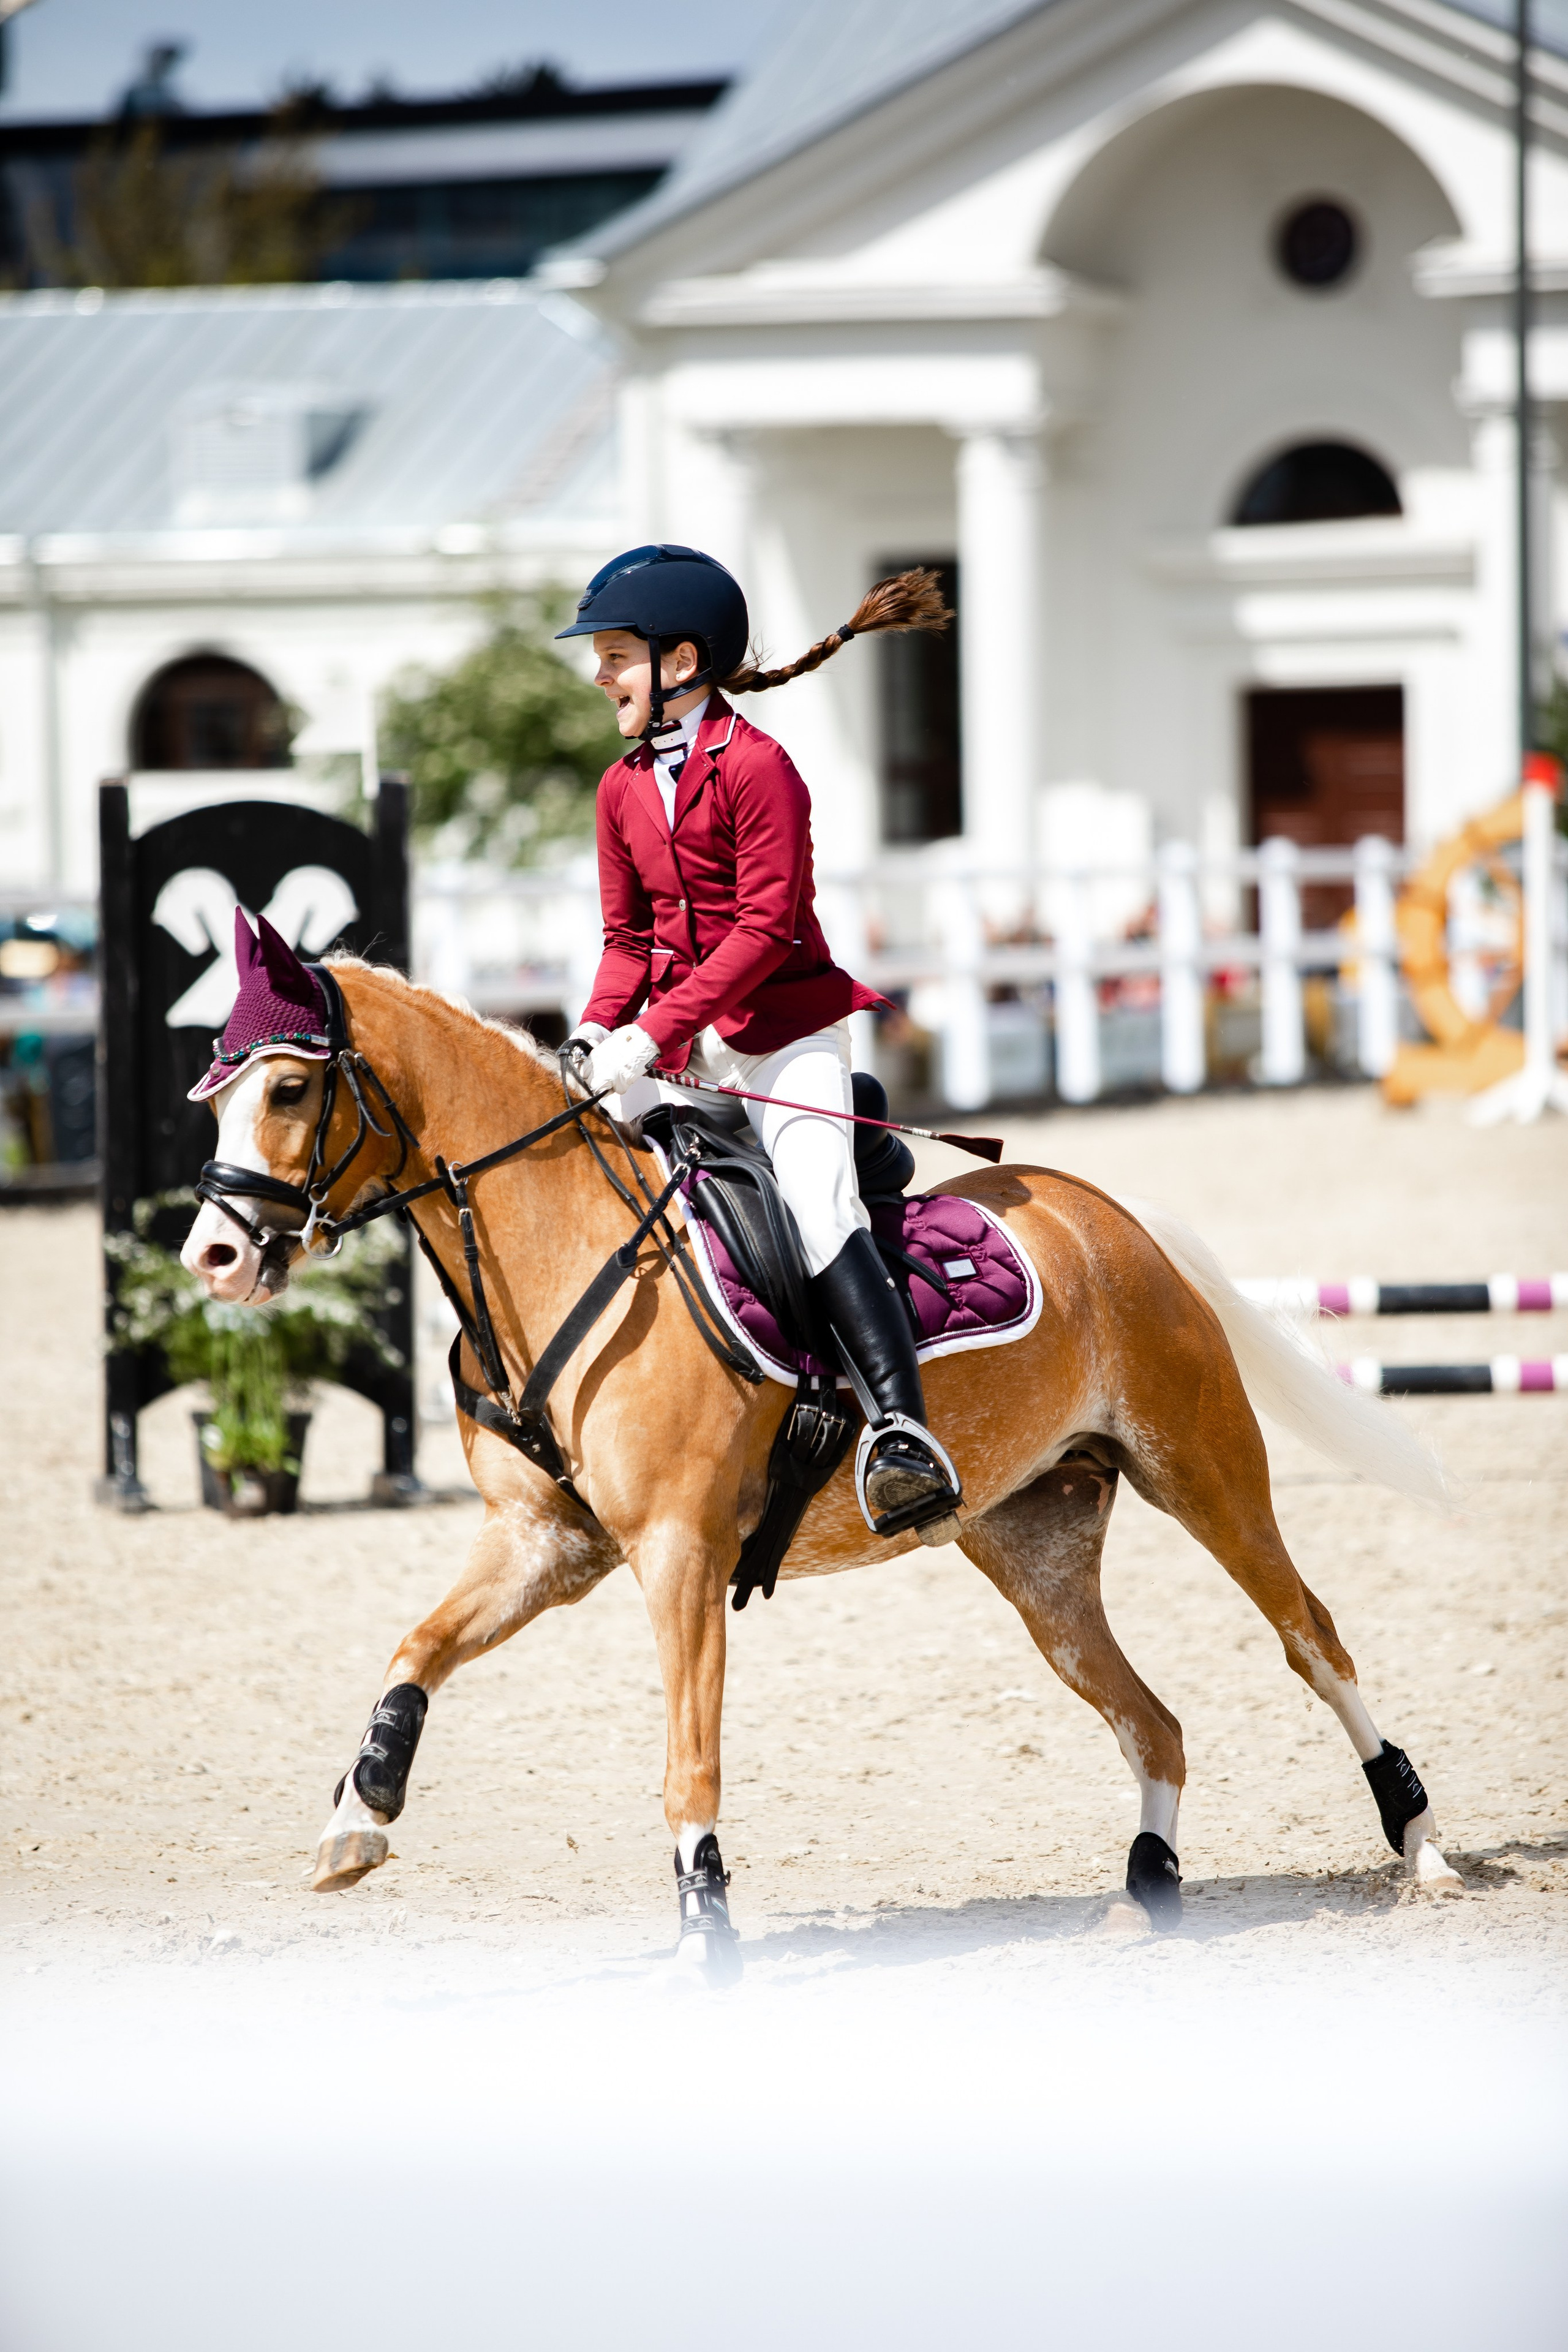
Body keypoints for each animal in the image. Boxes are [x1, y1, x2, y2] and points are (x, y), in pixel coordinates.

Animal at [180, 956, 1463, 1976]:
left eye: (290, 1089)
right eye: (220, 1092)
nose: (214, 1255)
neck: (560, 1252)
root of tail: (1104, 1211)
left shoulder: (679, 1555)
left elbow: (689, 1763)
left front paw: (706, 1931)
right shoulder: (544, 1547)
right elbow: (417, 1649)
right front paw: (357, 1817)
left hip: (1201, 1472)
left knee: (1310, 1638)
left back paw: (1423, 1847)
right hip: (1036, 1550)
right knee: (1153, 1724)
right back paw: (1146, 1888)